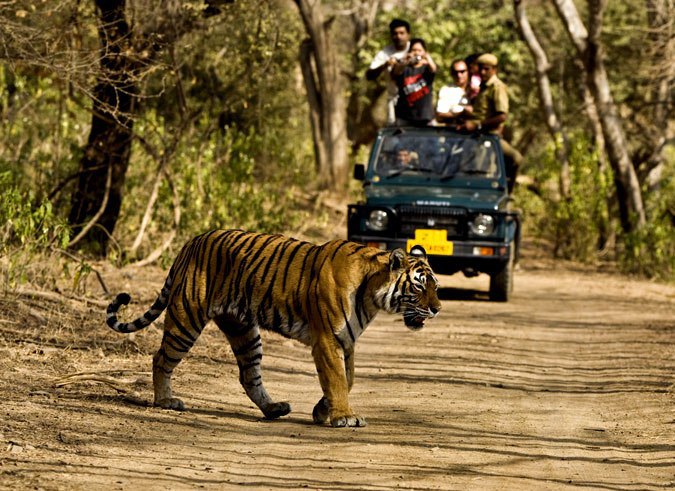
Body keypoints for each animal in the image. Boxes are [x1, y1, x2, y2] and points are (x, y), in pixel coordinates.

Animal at [104, 231, 444, 426]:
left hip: (244, 330)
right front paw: (344, 417)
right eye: (419, 286)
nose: (438, 309)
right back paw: (166, 401)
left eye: (436, 286)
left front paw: (323, 411)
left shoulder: (346, 341)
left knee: (248, 375)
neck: (372, 294)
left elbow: (347, 379)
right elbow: (337, 379)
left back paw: (273, 408)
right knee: (161, 358)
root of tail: (192, 241)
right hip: (187, 317)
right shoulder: (327, 339)